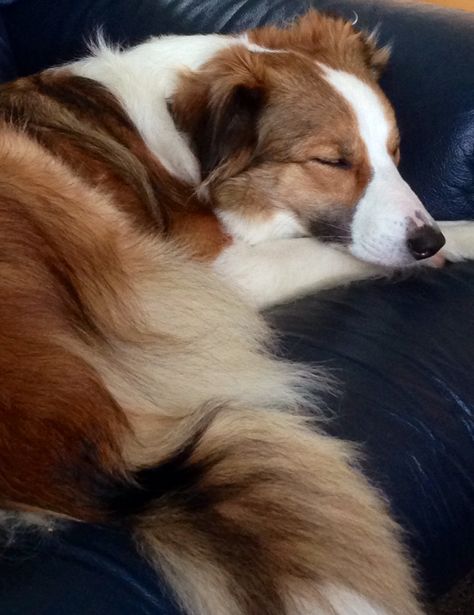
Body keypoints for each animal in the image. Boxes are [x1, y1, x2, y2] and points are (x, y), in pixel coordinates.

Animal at [0, 9, 474, 615]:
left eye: (394, 152)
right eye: (332, 160)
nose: (426, 240)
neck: (174, 145)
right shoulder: (216, 269)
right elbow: (331, 248)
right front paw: (459, 240)